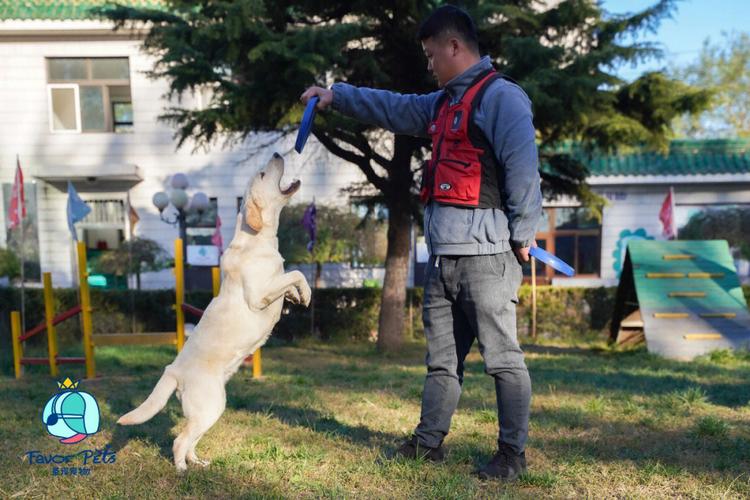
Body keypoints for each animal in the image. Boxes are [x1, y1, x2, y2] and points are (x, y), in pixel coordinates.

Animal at [119, 153, 312, 472]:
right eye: (262, 174)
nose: (276, 154)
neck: (257, 238)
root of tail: (173, 370)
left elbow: (290, 279)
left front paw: (297, 297)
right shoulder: (258, 295)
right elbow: (295, 273)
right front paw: (304, 292)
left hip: (213, 408)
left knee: (191, 441)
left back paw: (198, 463)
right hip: (210, 406)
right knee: (179, 441)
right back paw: (182, 470)